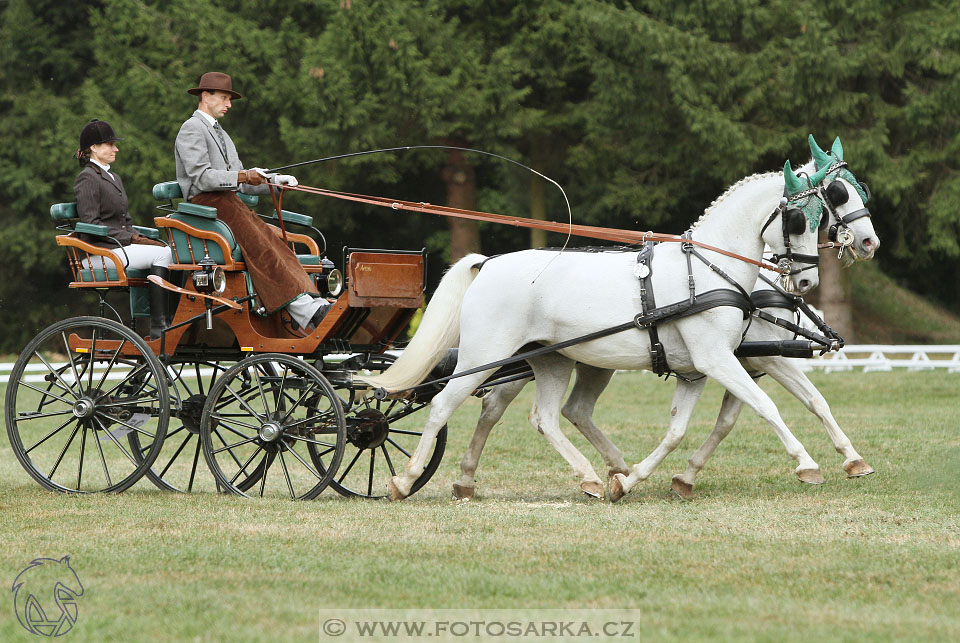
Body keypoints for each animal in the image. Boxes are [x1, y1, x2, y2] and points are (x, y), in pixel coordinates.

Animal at [360, 142, 832, 504]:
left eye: (822, 217)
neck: (707, 271)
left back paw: (587, 477)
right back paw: (404, 481)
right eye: (798, 220)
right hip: (484, 355)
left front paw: (632, 480)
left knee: (545, 417)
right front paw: (809, 464)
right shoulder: (718, 359)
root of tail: (488, 263)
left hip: (550, 361)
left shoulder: (698, 368)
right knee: (444, 405)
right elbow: (766, 405)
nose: (807, 280)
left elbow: (680, 429)